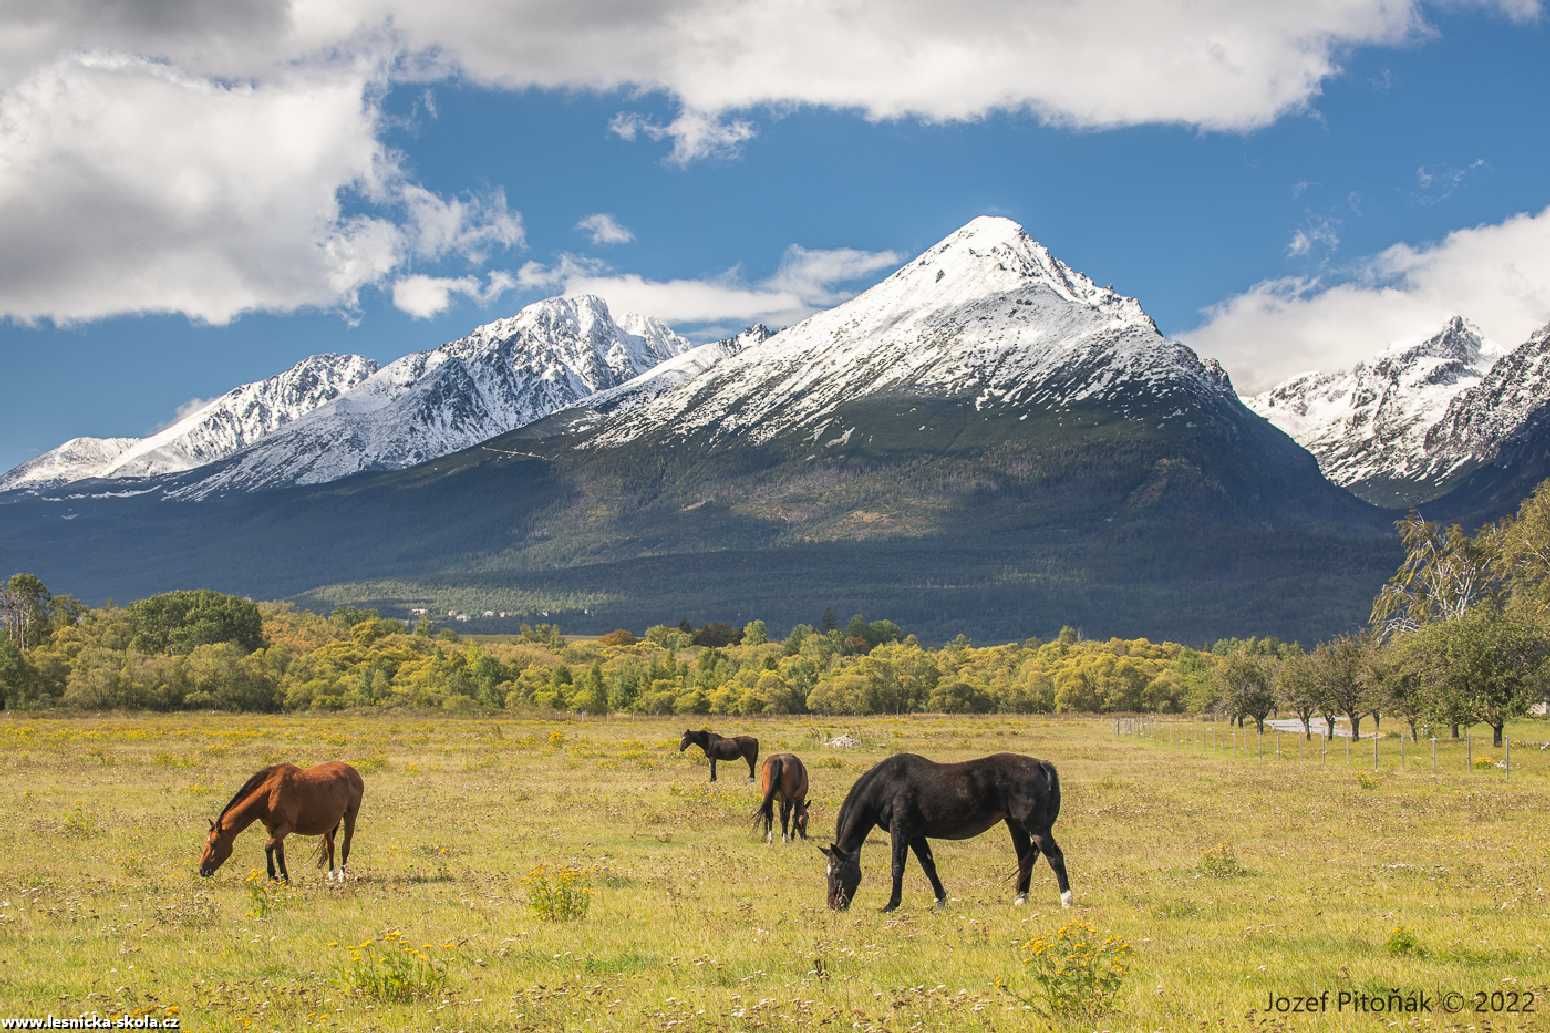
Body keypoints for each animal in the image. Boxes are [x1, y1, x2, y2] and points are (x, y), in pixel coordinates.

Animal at [199, 760, 365, 880]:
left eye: (213, 843)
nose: (202, 870)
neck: (269, 794)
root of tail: (354, 772)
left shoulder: (284, 827)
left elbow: (268, 847)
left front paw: (272, 875)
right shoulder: (273, 829)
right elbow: (279, 853)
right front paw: (285, 878)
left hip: (350, 815)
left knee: (345, 845)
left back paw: (342, 876)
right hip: (330, 824)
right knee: (331, 847)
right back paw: (331, 876)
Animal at [818, 747, 1072, 912]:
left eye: (838, 872)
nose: (834, 906)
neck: (888, 785)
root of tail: (1040, 765)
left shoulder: (900, 831)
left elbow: (897, 867)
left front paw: (891, 904)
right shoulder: (916, 835)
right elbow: (928, 865)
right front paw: (940, 899)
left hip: (1037, 827)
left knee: (1055, 857)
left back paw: (1066, 899)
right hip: (1016, 825)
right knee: (1025, 857)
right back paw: (1021, 897)